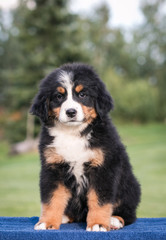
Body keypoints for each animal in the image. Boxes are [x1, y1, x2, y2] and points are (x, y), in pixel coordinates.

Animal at [29, 62, 140, 232]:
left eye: (82, 95)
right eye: (59, 96)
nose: (71, 112)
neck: (73, 133)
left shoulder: (104, 168)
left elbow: (100, 200)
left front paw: (98, 223)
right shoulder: (53, 168)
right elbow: (52, 199)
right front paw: (47, 222)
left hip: (130, 187)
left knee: (128, 213)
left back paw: (114, 220)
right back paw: (64, 217)